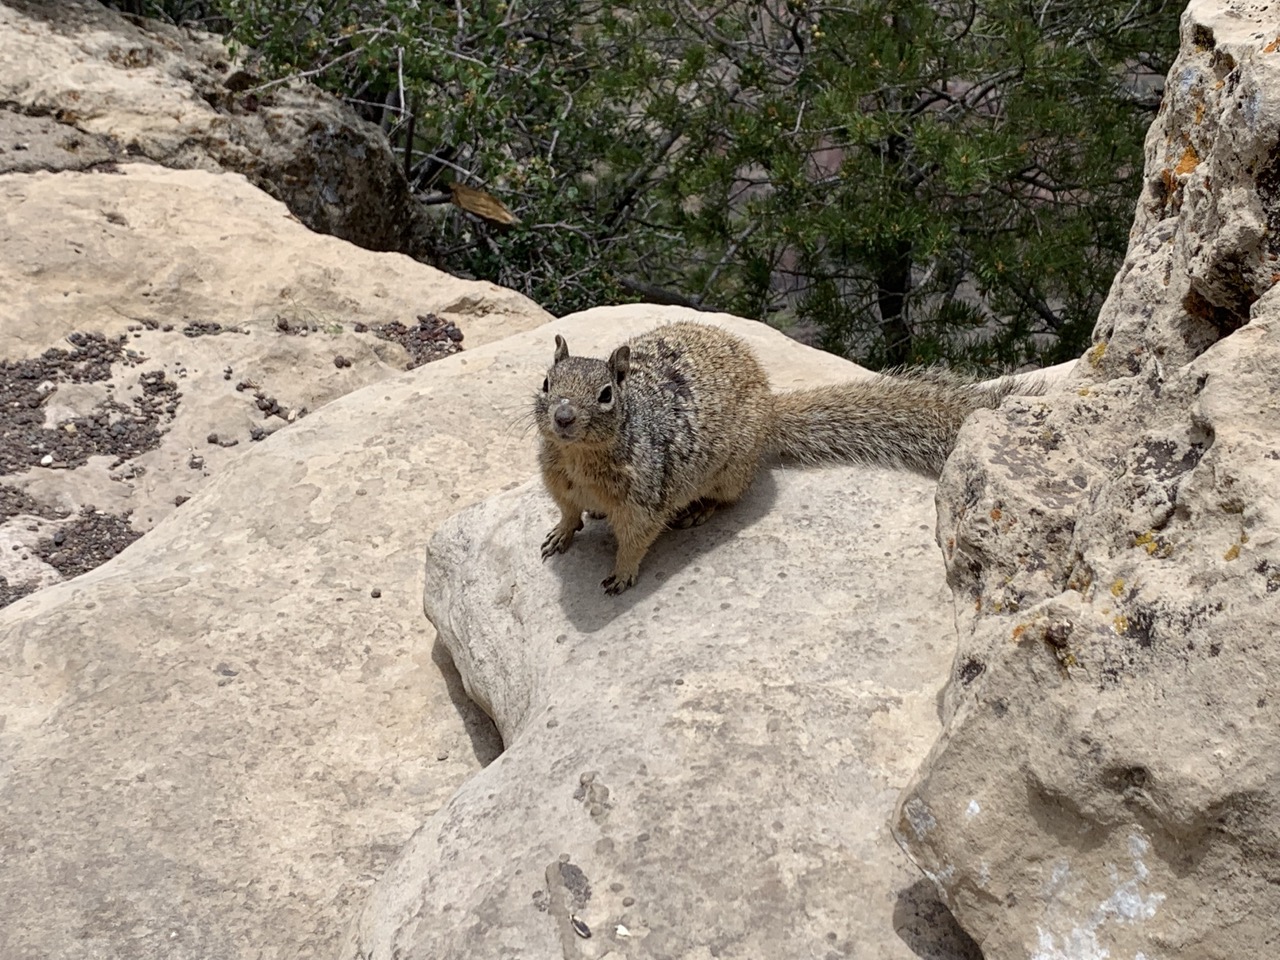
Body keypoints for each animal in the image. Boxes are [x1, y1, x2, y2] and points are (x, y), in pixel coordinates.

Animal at [532, 323, 1039, 593]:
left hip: (730, 473)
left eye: (606, 395)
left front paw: (621, 574)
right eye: (545, 383)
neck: (578, 460)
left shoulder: (645, 500)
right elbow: (568, 511)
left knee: (729, 497)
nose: (562, 417)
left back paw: (699, 510)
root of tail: (770, 405)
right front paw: (560, 532)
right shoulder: (558, 482)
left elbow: (636, 541)